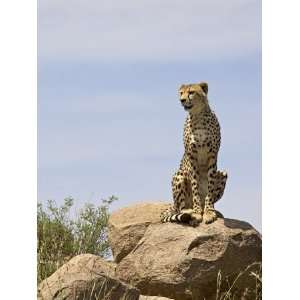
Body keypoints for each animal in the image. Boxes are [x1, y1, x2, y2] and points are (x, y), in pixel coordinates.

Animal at [162, 82, 227, 225]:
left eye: (191, 92)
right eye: (181, 93)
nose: (182, 100)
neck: (198, 116)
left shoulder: (212, 155)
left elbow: (210, 187)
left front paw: (209, 212)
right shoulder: (192, 157)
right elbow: (195, 185)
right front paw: (197, 213)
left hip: (223, 173)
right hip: (179, 175)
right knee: (180, 208)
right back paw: (189, 210)